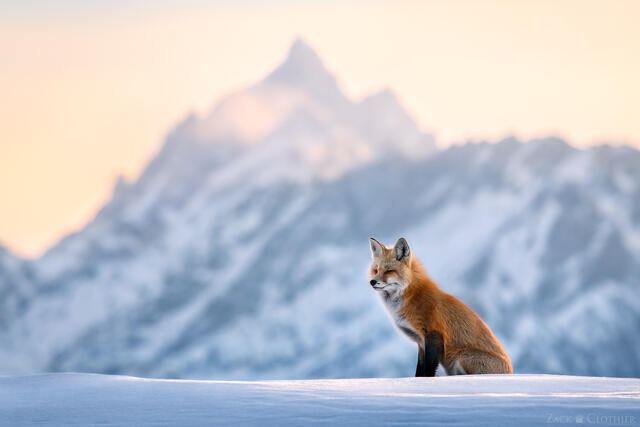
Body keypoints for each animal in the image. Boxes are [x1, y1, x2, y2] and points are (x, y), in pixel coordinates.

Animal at [368, 237, 513, 377]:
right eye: (376, 270)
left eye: (389, 271)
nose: (372, 282)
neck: (412, 295)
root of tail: (511, 372)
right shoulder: (421, 342)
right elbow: (419, 371)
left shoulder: (434, 333)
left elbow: (428, 370)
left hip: (461, 357)